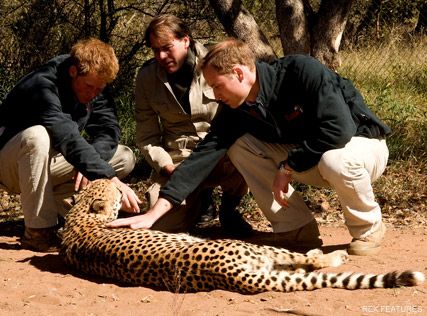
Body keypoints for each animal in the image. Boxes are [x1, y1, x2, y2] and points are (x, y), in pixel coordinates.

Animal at [58, 179, 426, 292]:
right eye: (114, 189)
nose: (118, 181)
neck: (79, 222)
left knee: (299, 267)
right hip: (257, 250)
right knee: (305, 262)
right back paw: (333, 255)